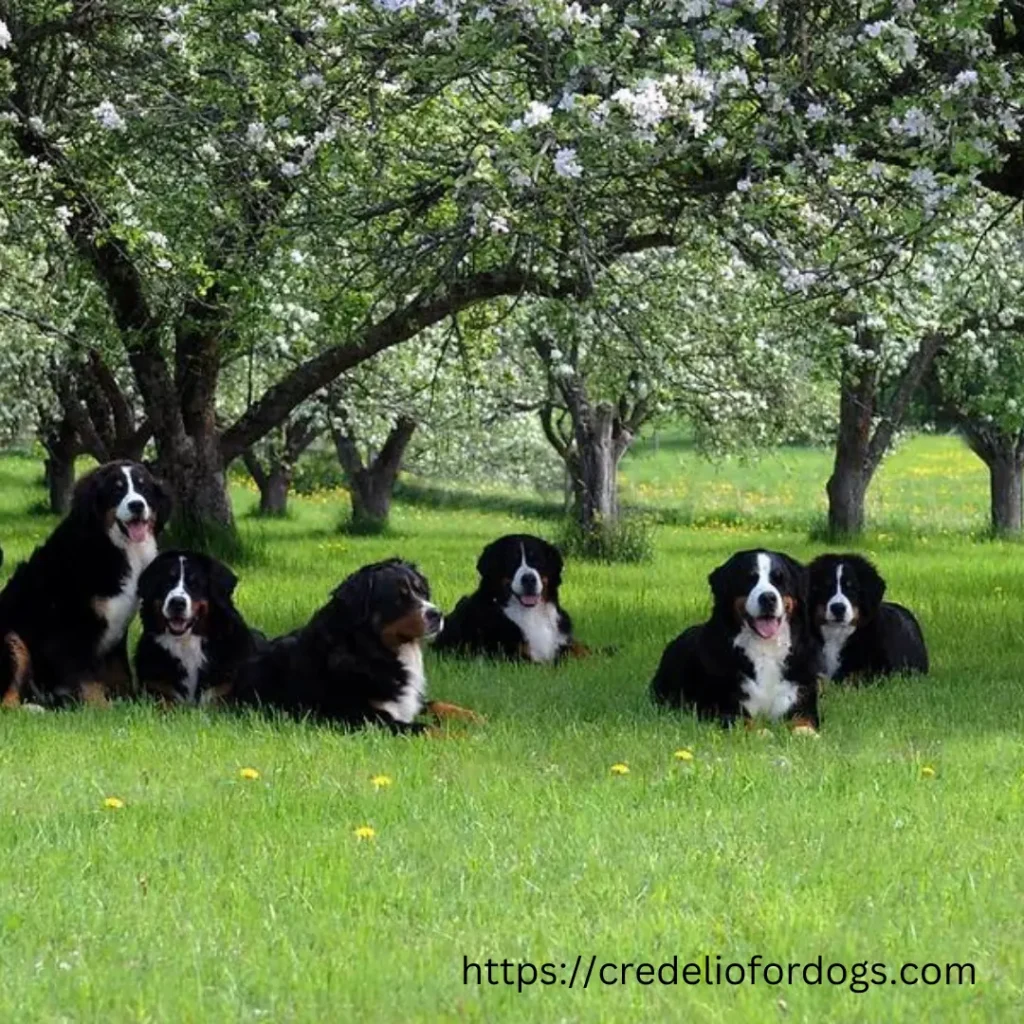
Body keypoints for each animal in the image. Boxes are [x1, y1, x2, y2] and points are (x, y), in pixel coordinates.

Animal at [0, 460, 172, 708]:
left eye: (144, 488)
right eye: (117, 490)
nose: (137, 505)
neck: (114, 547)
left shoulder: (118, 629)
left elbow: (120, 673)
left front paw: (130, 702)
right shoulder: (74, 627)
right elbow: (85, 678)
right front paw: (102, 708)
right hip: (11, 640)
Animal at [134, 552, 260, 704]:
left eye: (194, 584)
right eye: (167, 583)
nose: (177, 602)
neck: (186, 643)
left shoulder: (222, 694)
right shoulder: (159, 691)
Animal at [232, 557, 475, 733]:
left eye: (422, 592)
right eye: (399, 598)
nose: (437, 614)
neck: (368, 651)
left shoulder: (406, 701)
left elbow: (438, 704)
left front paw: (474, 717)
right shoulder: (362, 717)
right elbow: (427, 728)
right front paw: (463, 736)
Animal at [432, 536, 581, 663]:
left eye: (537, 560)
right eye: (511, 562)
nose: (529, 579)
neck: (532, 613)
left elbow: (580, 648)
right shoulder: (509, 655)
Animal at [651, 548, 819, 733]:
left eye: (780, 579)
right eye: (749, 579)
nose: (768, 598)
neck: (765, 649)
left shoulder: (801, 696)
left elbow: (804, 718)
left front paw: (806, 733)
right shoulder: (720, 707)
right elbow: (743, 722)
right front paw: (762, 732)